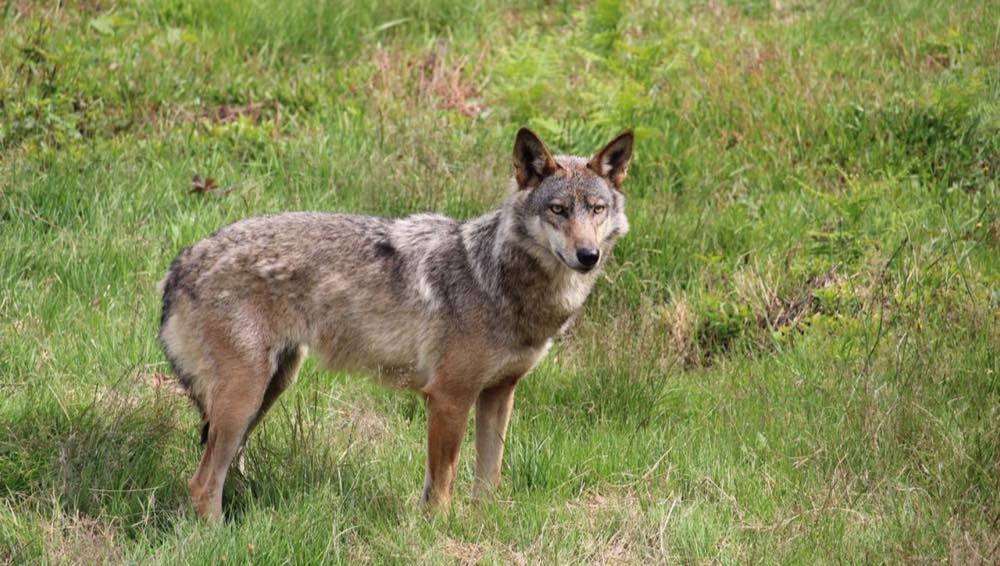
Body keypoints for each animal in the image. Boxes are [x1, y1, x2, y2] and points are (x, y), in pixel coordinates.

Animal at [159, 128, 634, 520]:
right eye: (558, 210)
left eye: (596, 209)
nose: (588, 256)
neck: (496, 279)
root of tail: (182, 262)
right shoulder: (448, 397)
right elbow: (442, 486)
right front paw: (439, 532)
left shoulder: (499, 393)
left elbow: (488, 480)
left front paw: (484, 527)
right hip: (245, 396)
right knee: (202, 484)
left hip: (271, 388)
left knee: (222, 471)